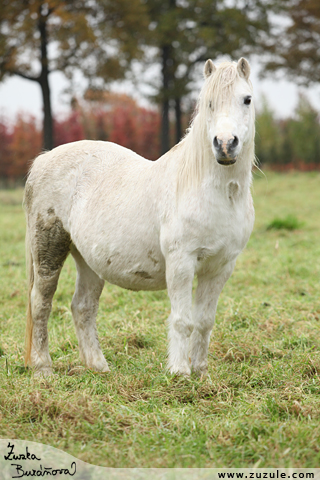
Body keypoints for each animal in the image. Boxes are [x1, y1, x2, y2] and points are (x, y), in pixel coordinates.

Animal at [24, 58, 255, 376]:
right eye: (208, 102)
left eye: (247, 99)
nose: (225, 144)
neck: (212, 191)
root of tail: (43, 159)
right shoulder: (181, 263)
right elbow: (183, 320)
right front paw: (180, 373)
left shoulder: (220, 267)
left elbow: (204, 322)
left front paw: (201, 373)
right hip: (49, 249)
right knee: (41, 303)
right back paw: (43, 369)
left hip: (88, 261)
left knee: (82, 307)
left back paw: (99, 366)